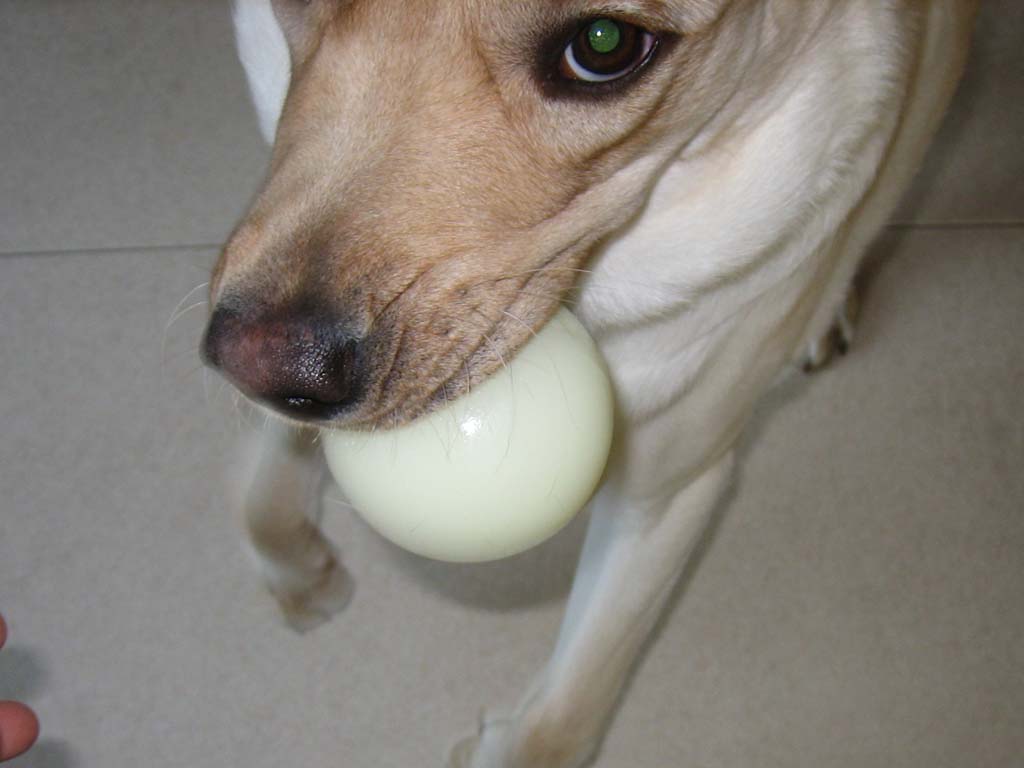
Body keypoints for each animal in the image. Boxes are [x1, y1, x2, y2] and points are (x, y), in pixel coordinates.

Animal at [201, 1, 978, 765]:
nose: (266, 368)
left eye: (603, 44)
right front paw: (292, 559)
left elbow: (561, 719)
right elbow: (263, 483)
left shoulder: (667, 492)